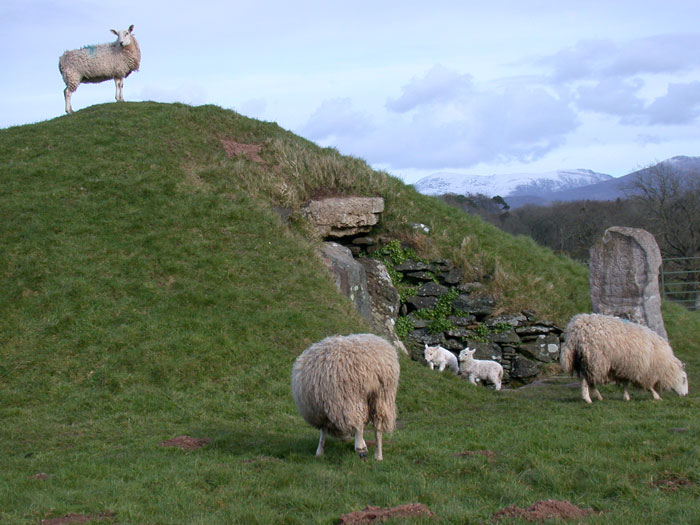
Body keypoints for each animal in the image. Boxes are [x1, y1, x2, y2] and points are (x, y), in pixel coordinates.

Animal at [556, 314, 688, 404]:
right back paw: (588, 398)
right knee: (586, 380)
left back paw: (598, 396)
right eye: (684, 379)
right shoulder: (642, 369)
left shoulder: (626, 366)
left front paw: (626, 397)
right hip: (593, 359)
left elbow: (625, 382)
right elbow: (647, 384)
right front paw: (656, 396)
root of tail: (575, 329)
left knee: (588, 380)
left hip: (582, 360)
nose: (686, 395)